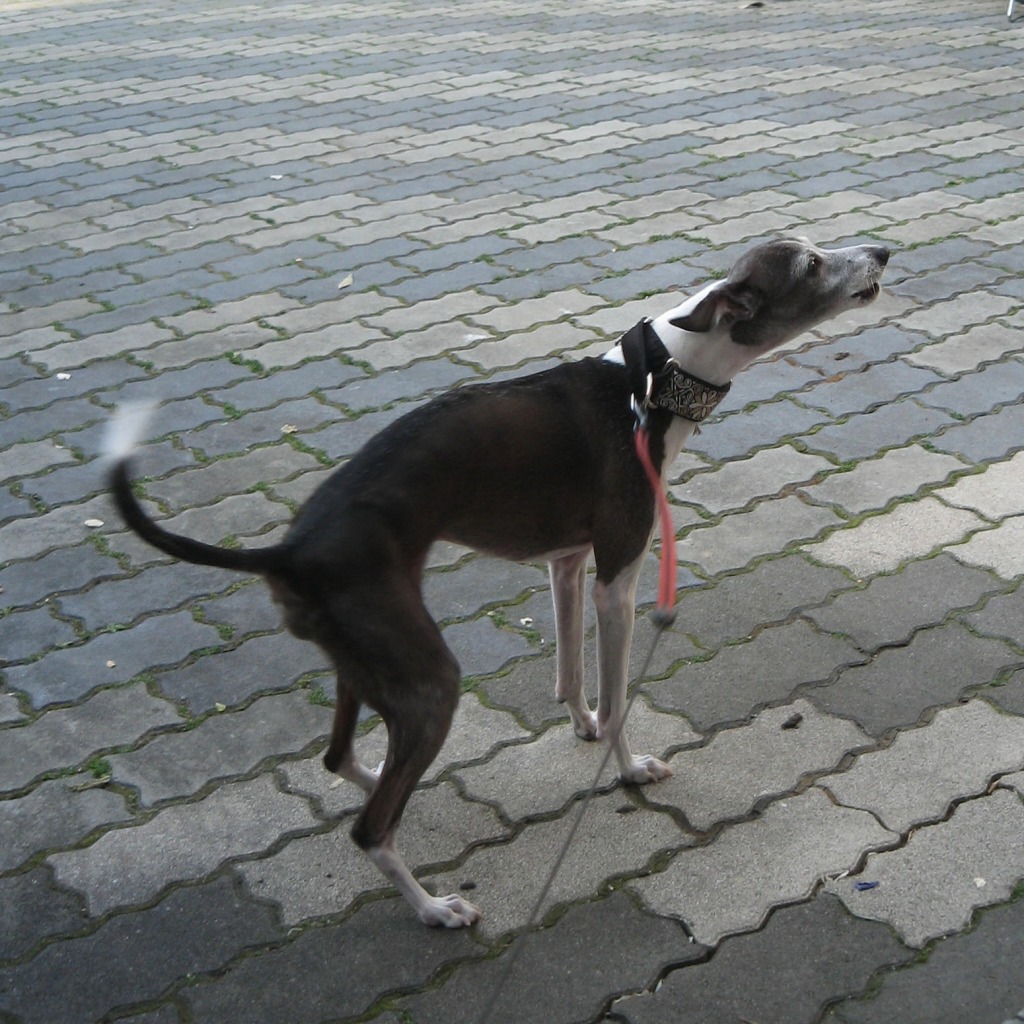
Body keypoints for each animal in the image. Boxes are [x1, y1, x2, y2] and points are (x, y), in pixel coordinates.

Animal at [106, 238, 889, 927]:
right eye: (811, 263)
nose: (882, 252)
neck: (651, 382)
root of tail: (290, 551)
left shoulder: (567, 563)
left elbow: (571, 675)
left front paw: (580, 725)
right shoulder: (617, 577)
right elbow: (617, 698)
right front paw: (628, 767)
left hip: (365, 661)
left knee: (343, 760)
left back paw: (390, 790)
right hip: (428, 678)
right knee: (369, 828)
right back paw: (433, 908)